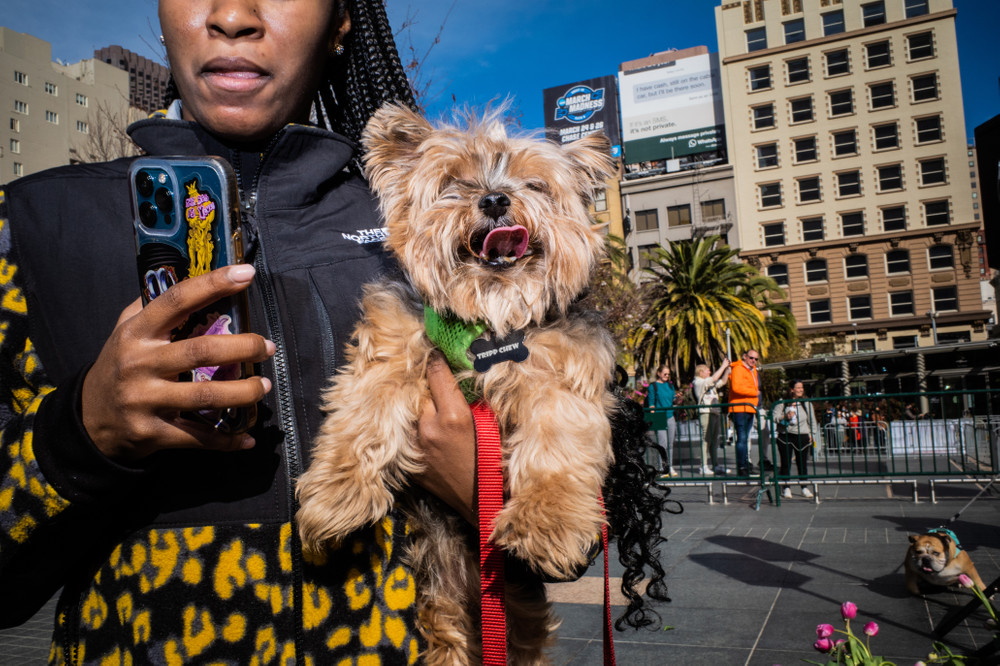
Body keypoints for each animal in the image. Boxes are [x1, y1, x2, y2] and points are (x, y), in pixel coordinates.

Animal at [295, 103, 619, 664]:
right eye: (454, 182)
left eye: (534, 183)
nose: (493, 198)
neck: (487, 322)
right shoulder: (393, 343)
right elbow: (363, 414)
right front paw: (336, 496)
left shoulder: (565, 372)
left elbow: (556, 443)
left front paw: (549, 524)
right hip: (444, 596)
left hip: (515, 608)